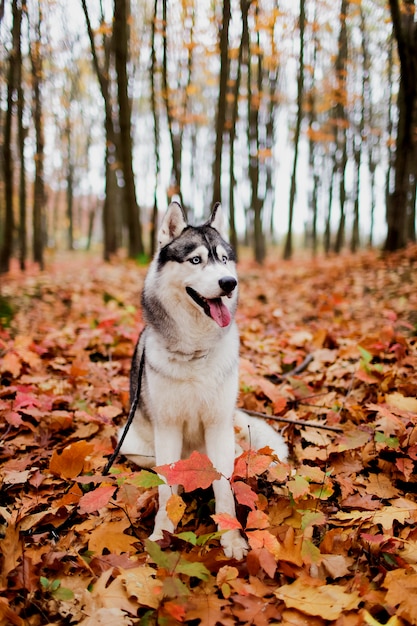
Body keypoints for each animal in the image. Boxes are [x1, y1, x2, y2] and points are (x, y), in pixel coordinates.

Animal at [118, 201, 288, 556]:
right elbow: (166, 486)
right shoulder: (167, 428)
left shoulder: (218, 425)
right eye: (195, 260)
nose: (228, 283)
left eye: (223, 259)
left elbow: (223, 487)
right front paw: (162, 531)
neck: (195, 352)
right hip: (128, 441)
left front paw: (231, 538)